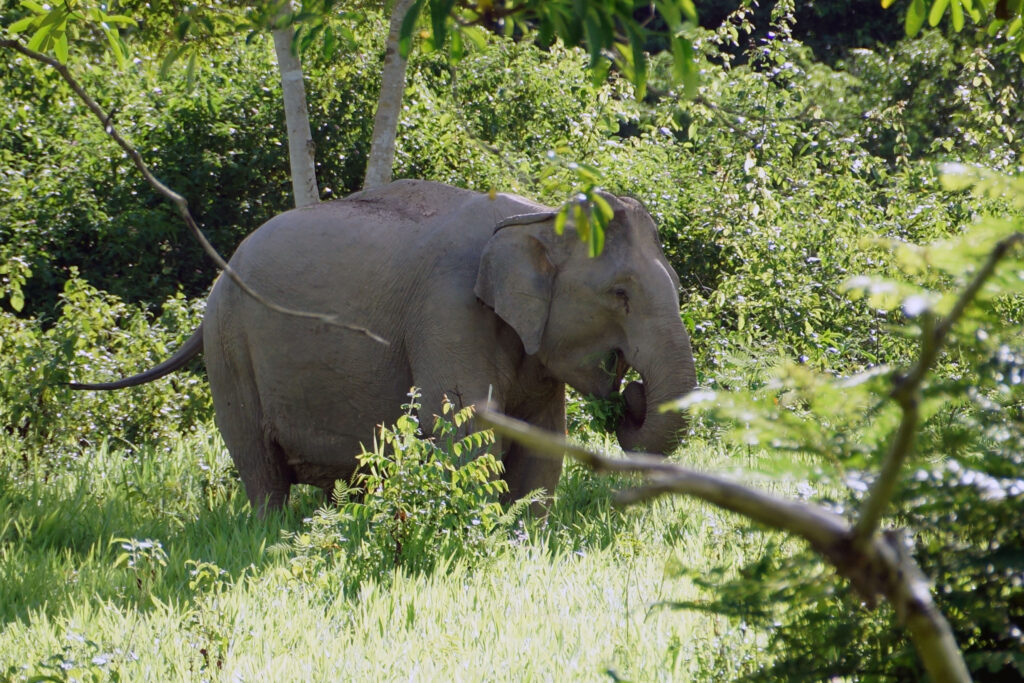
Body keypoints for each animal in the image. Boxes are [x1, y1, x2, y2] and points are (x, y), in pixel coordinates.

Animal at [72, 180, 697, 513]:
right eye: (619, 294)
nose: (632, 395)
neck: (540, 215)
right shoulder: (447, 312)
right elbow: (466, 432)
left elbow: (541, 444)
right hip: (230, 348)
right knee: (258, 463)